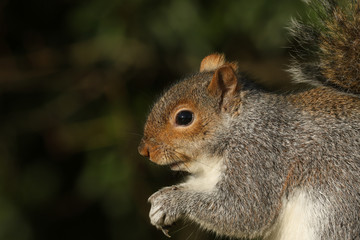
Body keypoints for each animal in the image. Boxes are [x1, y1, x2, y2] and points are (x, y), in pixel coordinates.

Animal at [139, 0, 360, 239]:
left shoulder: (258, 156)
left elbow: (243, 210)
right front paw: (162, 199)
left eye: (184, 117)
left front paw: (171, 201)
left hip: (337, 211)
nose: (144, 150)